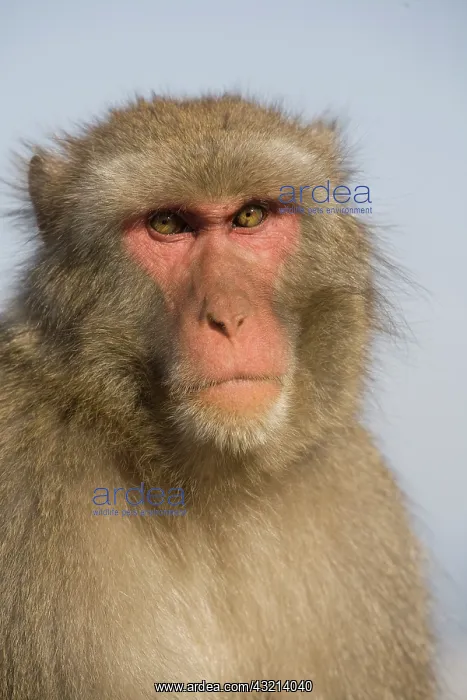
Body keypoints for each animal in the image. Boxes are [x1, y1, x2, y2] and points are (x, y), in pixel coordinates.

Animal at [0, 94, 435, 699]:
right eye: (167, 224)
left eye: (249, 216)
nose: (228, 316)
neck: (212, 493)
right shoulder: (22, 485)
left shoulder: (364, 503)